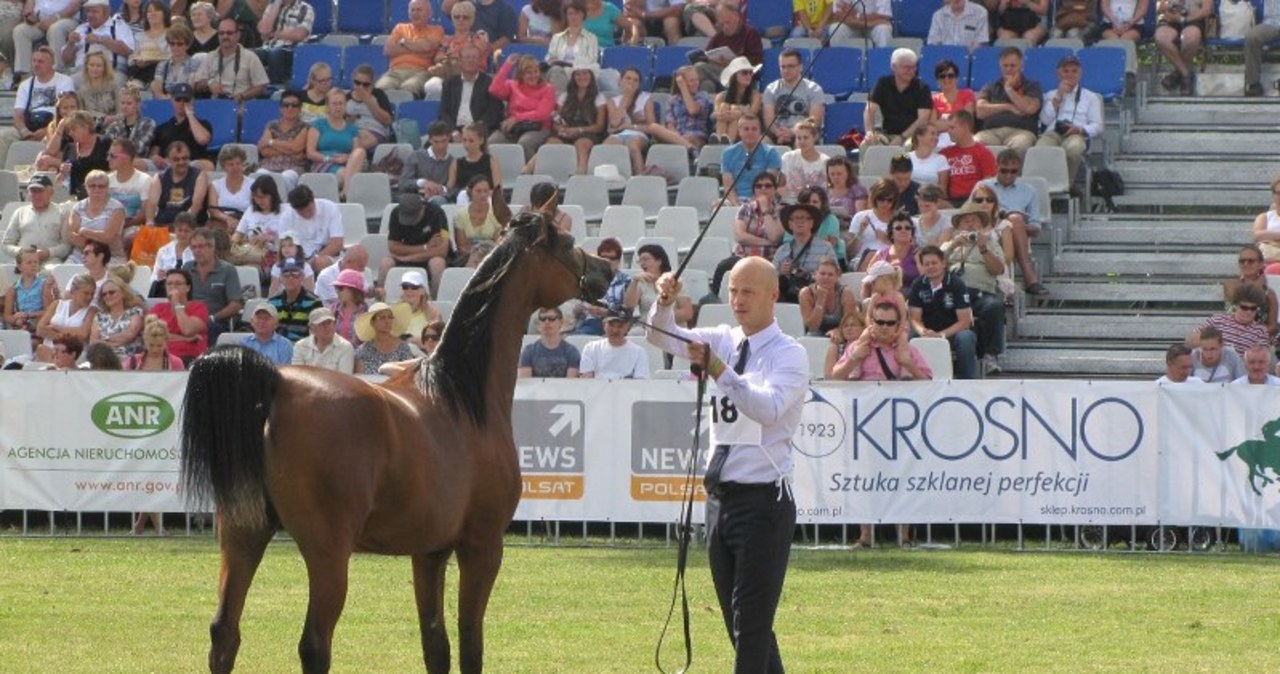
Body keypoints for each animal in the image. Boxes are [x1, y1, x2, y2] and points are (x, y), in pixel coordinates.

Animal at [180, 212, 614, 674]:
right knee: (313, 645)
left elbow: (436, 646)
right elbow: (470, 643)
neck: (462, 398)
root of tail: (277, 383)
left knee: (224, 633)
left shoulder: (429, 553)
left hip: (242, 536)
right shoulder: (482, 547)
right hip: (327, 551)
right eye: (565, 244)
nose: (605, 269)